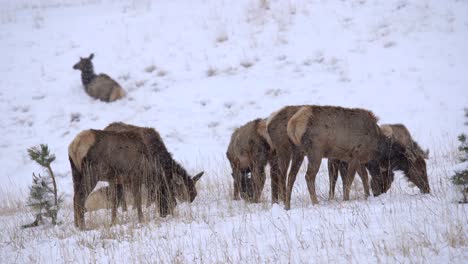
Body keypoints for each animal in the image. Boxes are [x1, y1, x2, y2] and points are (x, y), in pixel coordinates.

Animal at [284, 105, 430, 210]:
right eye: (421, 169)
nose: (427, 189)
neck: (377, 146)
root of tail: (293, 124)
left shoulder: (360, 159)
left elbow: (364, 177)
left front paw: (366, 196)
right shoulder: (354, 155)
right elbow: (349, 181)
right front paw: (346, 199)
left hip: (298, 151)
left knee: (291, 176)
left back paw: (287, 206)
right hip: (315, 151)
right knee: (308, 176)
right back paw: (315, 202)